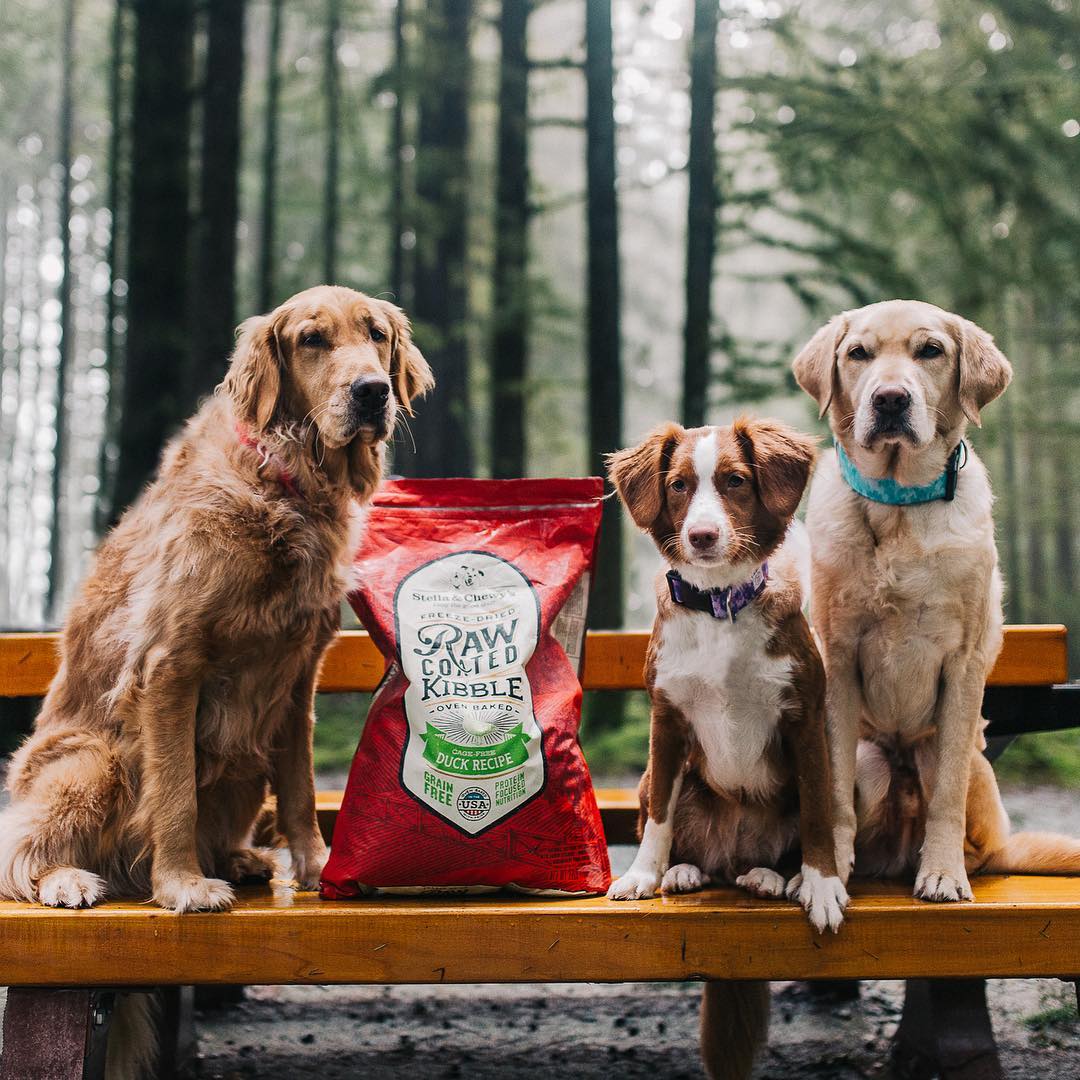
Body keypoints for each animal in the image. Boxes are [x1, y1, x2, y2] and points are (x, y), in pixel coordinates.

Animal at [1, 285, 429, 911]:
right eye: (311, 339)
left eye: (376, 333)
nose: (372, 392)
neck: (284, 482)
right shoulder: (170, 664)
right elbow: (176, 791)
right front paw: (182, 884)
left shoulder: (299, 677)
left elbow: (300, 788)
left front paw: (316, 867)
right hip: (95, 761)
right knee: (19, 852)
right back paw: (68, 879)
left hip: (245, 764)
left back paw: (240, 858)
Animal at [609, 416, 842, 1080]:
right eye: (679, 485)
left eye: (736, 481)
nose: (703, 535)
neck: (718, 609)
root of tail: (732, 857)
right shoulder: (666, 722)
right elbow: (660, 816)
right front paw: (644, 874)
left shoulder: (805, 721)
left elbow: (817, 815)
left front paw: (820, 885)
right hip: (664, 781)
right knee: (678, 828)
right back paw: (685, 870)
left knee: (771, 853)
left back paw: (771, 878)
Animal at [794, 300, 1080, 898]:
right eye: (858, 353)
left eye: (931, 350)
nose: (890, 399)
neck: (899, 504)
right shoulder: (838, 658)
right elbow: (833, 788)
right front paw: (828, 868)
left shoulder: (963, 665)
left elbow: (947, 793)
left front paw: (943, 873)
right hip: (871, 757)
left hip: (966, 763)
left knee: (975, 836)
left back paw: (945, 863)